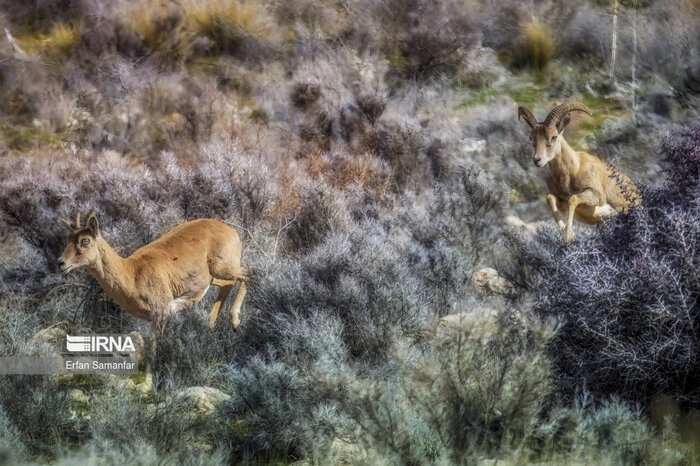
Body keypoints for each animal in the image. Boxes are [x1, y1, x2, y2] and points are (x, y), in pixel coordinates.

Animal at [516, 99, 640, 244]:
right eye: (531, 138)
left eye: (553, 137)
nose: (537, 160)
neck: (571, 172)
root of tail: (636, 192)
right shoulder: (561, 201)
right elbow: (550, 199)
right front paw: (564, 230)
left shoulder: (596, 195)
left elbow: (573, 198)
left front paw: (568, 235)